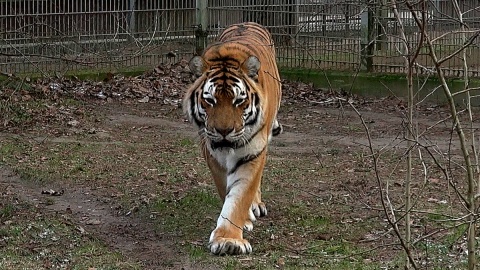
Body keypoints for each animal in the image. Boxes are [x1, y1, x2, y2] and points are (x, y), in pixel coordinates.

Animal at [183, 22, 282, 255]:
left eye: (239, 101)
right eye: (210, 100)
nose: (224, 131)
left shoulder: (253, 150)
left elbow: (241, 194)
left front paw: (229, 240)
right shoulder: (210, 150)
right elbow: (226, 188)